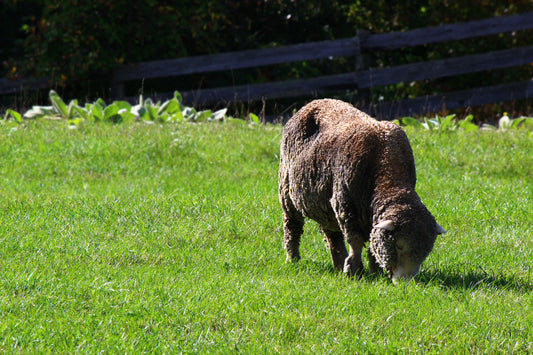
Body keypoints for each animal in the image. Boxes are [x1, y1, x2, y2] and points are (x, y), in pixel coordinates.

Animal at [278, 99, 444, 284]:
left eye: (426, 251)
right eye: (399, 245)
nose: (405, 282)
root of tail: (311, 103)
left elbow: (372, 240)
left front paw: (374, 271)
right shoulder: (347, 208)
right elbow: (355, 242)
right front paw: (353, 271)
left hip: (324, 204)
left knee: (332, 235)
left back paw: (338, 263)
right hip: (287, 191)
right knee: (292, 227)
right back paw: (293, 258)